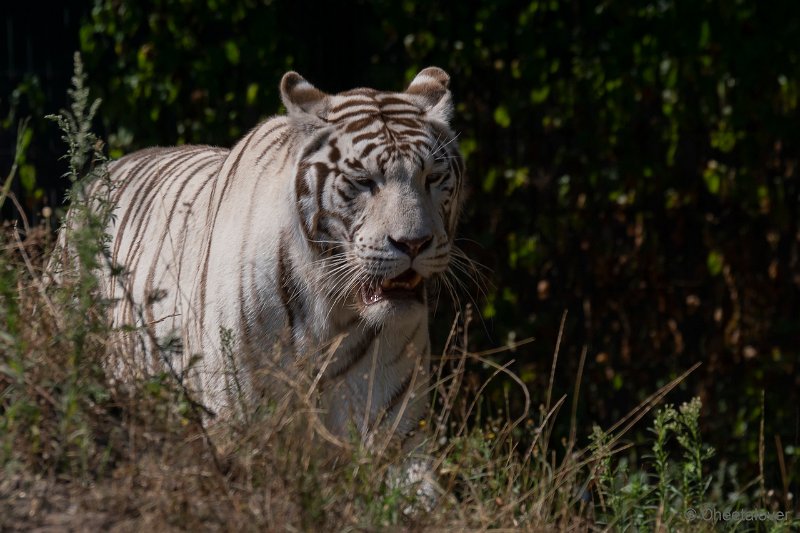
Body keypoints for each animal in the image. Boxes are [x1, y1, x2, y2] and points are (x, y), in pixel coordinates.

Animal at [90, 67, 462, 444]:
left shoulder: (394, 429)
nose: (414, 243)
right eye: (363, 181)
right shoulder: (237, 419)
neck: (332, 315)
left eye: (432, 177)